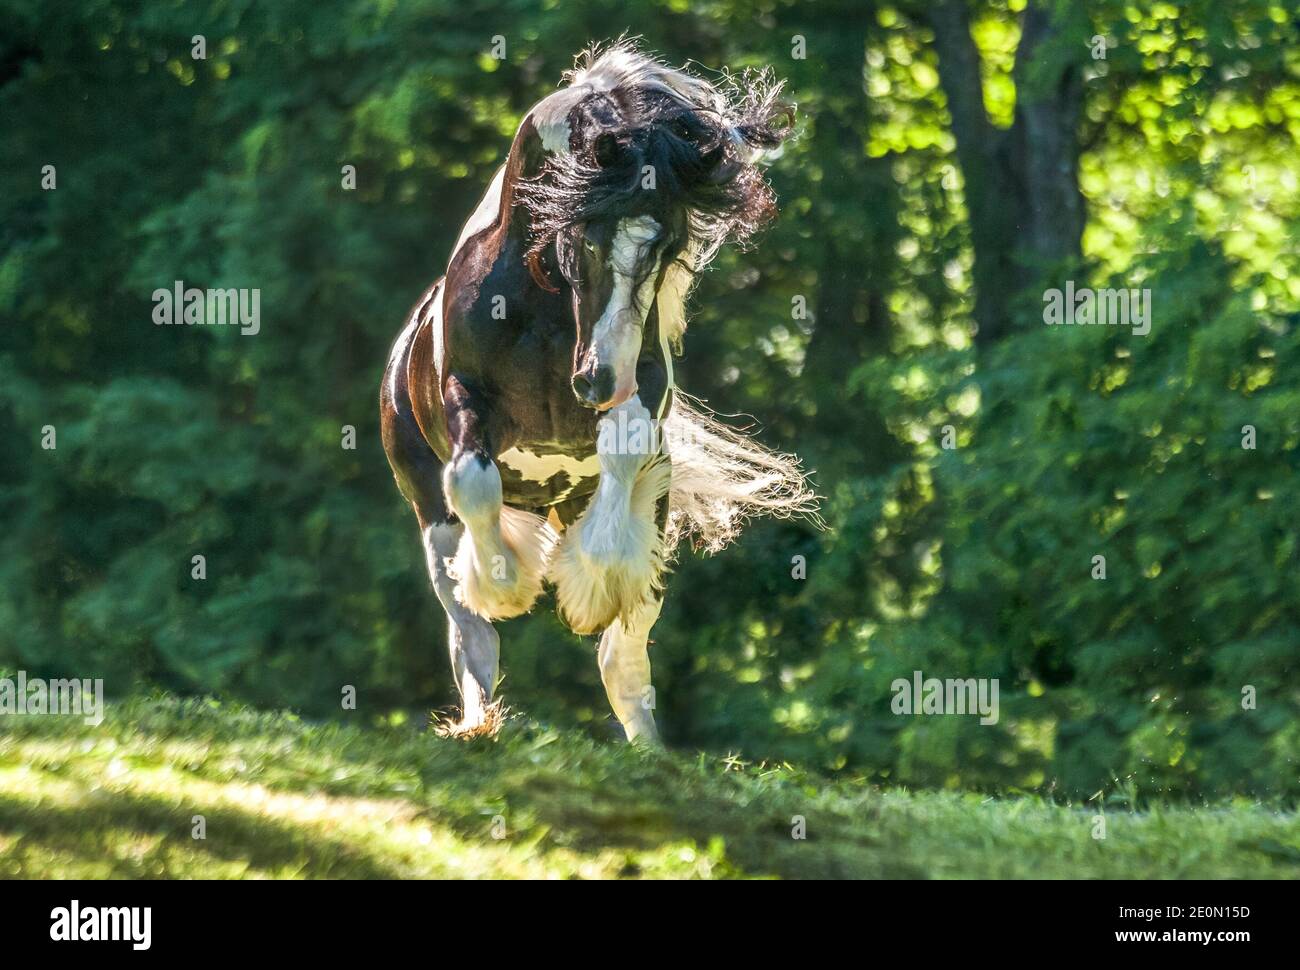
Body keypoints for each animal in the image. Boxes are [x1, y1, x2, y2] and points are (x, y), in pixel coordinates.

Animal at [380, 41, 817, 743]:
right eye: (584, 234)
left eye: (668, 246)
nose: (595, 379)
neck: (548, 309)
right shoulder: (463, 394)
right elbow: (473, 482)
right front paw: (508, 584)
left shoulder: (641, 395)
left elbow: (622, 462)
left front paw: (587, 586)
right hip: (429, 512)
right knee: (470, 633)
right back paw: (479, 723)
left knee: (624, 659)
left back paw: (647, 750)